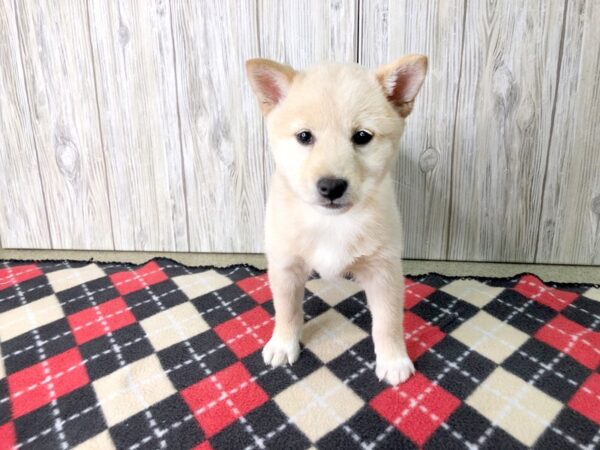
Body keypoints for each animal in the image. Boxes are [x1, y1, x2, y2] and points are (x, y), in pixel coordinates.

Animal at [244, 54, 426, 384]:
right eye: (304, 136)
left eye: (362, 137)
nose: (331, 186)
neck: (331, 223)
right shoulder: (285, 266)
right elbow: (287, 310)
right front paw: (283, 343)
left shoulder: (384, 270)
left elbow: (388, 321)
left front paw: (393, 359)